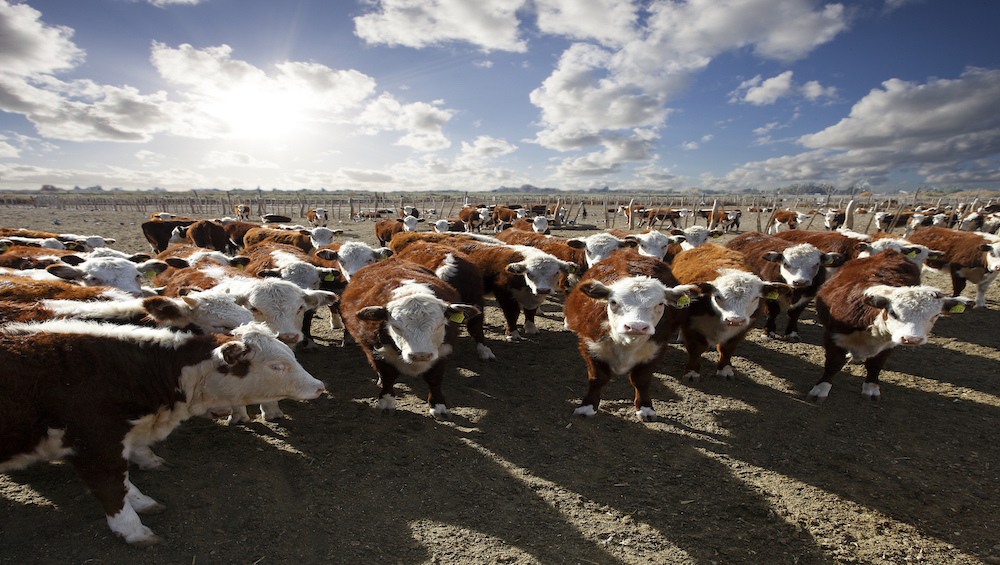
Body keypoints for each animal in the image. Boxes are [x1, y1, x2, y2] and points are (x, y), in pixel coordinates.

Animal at [0, 320, 324, 544]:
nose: (319, 386)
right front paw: (133, 530)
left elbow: (126, 478)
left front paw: (143, 498)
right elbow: (112, 487)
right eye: (276, 366)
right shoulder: (95, 444)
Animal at [340, 260, 480, 418]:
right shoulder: (374, 349)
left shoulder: (445, 351)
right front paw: (386, 402)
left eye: (440, 325)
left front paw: (439, 406)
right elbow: (388, 377)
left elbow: (434, 379)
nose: (420, 355)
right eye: (396, 327)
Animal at [568, 253, 700, 420]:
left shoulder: (657, 349)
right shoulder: (589, 345)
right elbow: (598, 378)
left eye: (660, 304)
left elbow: (641, 380)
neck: (626, 345)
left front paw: (645, 408)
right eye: (613, 302)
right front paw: (587, 407)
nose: (636, 326)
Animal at [812, 250, 968, 400]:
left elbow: (875, 365)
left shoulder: (891, 343)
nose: (912, 339)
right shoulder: (833, 335)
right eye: (893, 312)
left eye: (936, 315)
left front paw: (871, 389)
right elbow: (833, 364)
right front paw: (821, 390)